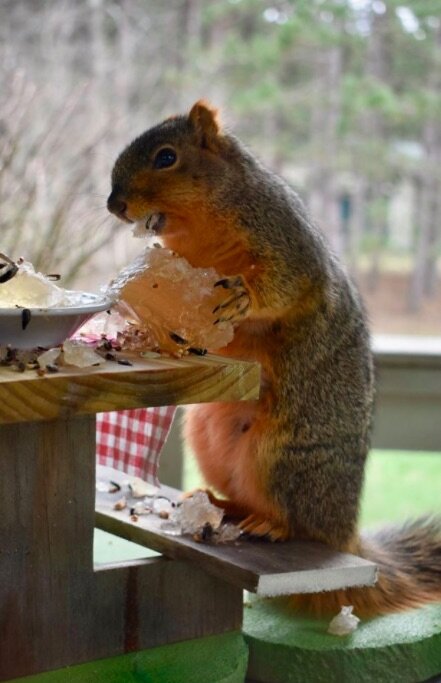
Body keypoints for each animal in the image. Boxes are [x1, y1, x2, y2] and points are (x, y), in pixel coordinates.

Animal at [107, 101, 440, 620]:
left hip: (282, 455)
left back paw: (273, 525)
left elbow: (284, 287)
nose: (114, 204)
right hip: (207, 437)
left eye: (166, 157)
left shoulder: (285, 240)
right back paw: (219, 503)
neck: (199, 227)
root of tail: (345, 532)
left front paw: (243, 297)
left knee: (297, 520)